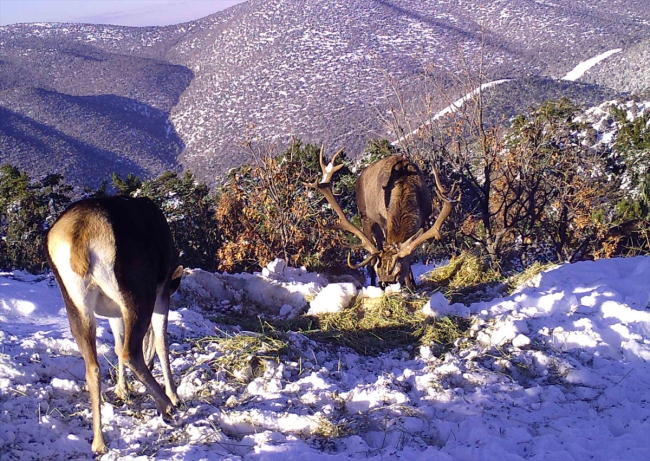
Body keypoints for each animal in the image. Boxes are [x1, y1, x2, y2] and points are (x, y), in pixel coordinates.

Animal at [46, 195, 182, 452]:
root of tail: (81, 236)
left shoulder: (113, 312)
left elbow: (117, 346)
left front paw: (122, 389)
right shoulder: (161, 292)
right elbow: (162, 342)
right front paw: (175, 395)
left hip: (76, 303)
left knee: (94, 366)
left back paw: (99, 442)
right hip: (137, 292)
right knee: (131, 352)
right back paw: (166, 405)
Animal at [306, 146, 454, 288]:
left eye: (398, 272)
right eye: (380, 272)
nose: (385, 283)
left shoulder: (425, 217)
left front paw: (412, 285)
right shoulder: (384, 220)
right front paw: (409, 286)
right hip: (365, 216)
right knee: (372, 251)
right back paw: (373, 285)